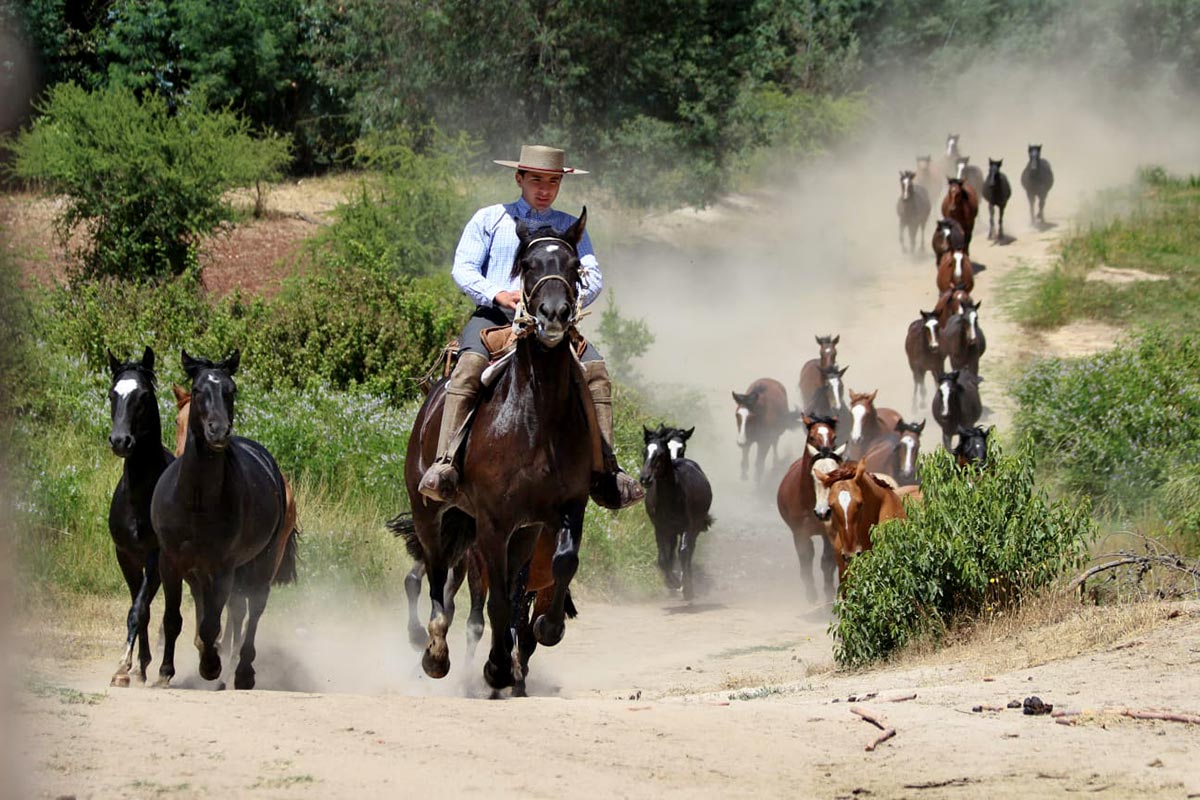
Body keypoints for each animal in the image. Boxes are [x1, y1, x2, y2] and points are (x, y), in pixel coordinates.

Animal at [150, 350, 298, 690]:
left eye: (231, 390)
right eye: (199, 390)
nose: (218, 431)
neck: (196, 500)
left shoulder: (222, 568)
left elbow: (212, 623)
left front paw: (211, 667)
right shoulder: (172, 562)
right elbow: (173, 619)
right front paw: (165, 672)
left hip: (262, 563)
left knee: (252, 610)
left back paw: (241, 672)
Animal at [400, 211, 595, 693]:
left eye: (574, 267)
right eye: (527, 265)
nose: (553, 315)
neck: (536, 420)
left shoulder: (562, 510)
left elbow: (561, 566)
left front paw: (543, 632)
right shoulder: (492, 523)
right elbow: (496, 604)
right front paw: (496, 669)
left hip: (516, 533)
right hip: (429, 512)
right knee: (436, 578)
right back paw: (436, 654)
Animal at [640, 425, 714, 602]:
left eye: (660, 454)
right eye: (644, 451)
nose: (645, 478)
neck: (671, 496)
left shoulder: (688, 526)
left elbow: (684, 552)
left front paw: (686, 587)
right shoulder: (659, 527)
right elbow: (663, 558)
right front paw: (671, 582)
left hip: (693, 527)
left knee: (688, 550)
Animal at [776, 415, 843, 603]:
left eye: (834, 436)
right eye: (812, 436)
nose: (826, 452)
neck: (809, 500)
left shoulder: (829, 532)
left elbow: (827, 561)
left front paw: (829, 594)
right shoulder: (799, 533)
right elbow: (806, 557)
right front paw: (811, 594)